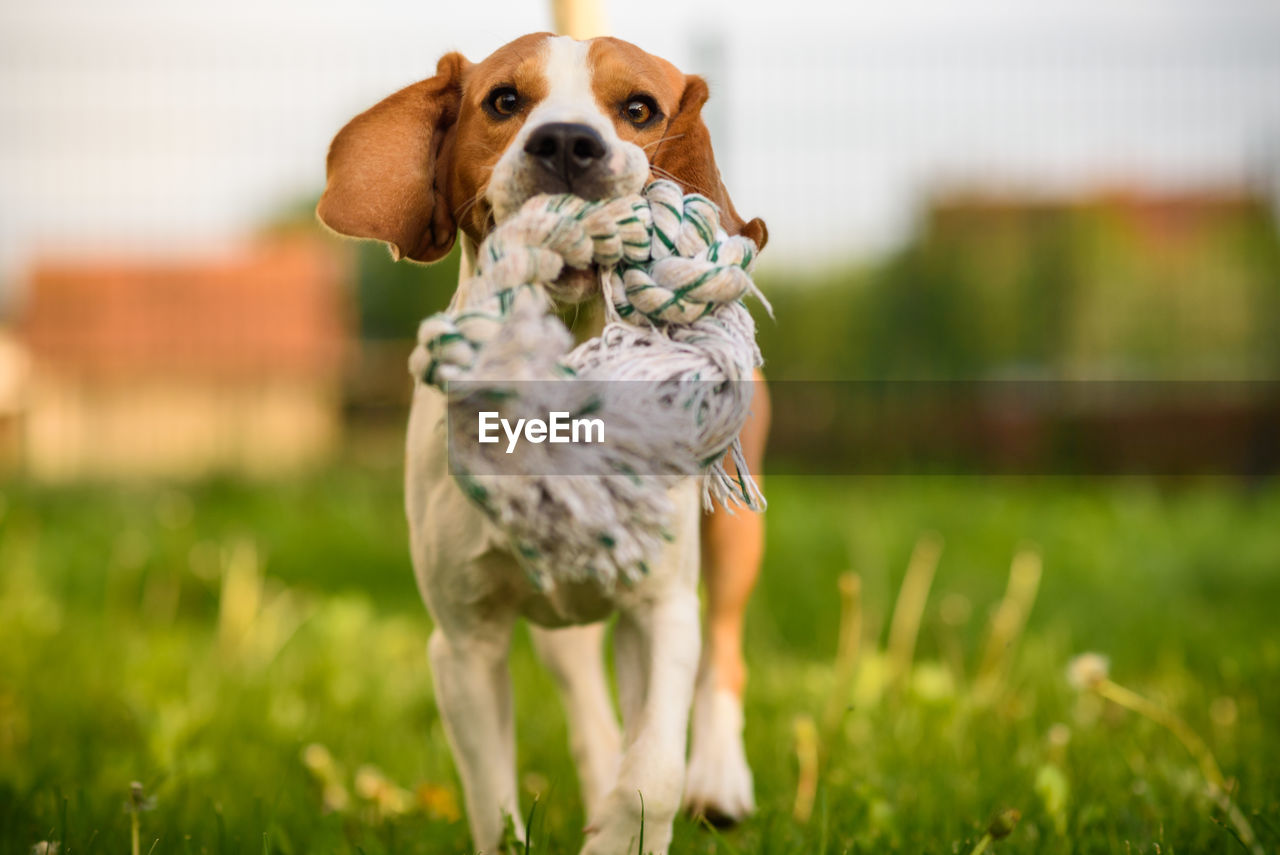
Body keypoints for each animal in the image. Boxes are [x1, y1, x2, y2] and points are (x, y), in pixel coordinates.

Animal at [317, 33, 768, 855]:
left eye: (639, 109)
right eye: (504, 100)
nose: (565, 141)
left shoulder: (660, 606)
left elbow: (653, 770)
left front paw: (626, 832)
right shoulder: (463, 643)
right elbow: (495, 805)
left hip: (731, 537)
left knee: (724, 652)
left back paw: (719, 779)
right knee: (589, 706)